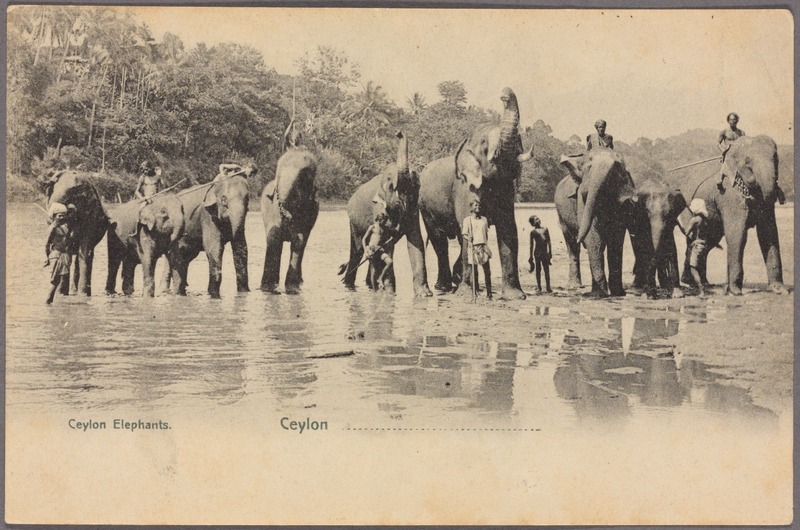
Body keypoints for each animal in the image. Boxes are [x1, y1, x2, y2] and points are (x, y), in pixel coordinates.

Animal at [258, 144, 318, 292]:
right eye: (278, 173)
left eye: (303, 178)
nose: (288, 217)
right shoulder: (272, 207)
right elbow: (273, 237)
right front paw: (268, 289)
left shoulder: (309, 210)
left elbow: (298, 240)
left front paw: (292, 290)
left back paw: (300, 283)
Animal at [342, 130, 434, 294]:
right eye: (391, 183)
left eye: (416, 182)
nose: (398, 132)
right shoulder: (378, 208)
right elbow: (387, 242)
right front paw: (390, 293)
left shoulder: (414, 210)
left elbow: (416, 240)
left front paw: (425, 294)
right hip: (353, 223)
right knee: (358, 250)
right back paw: (351, 286)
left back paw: (371, 285)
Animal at [418, 88, 532, 300]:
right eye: (485, 142)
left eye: (519, 140)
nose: (505, 94)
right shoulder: (464, 187)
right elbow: (466, 226)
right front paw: (464, 293)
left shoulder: (506, 188)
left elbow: (508, 229)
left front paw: (516, 296)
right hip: (424, 207)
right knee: (439, 240)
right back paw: (444, 287)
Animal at [556, 148, 636, 296]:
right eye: (588, 167)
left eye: (616, 168)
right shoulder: (581, 200)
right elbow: (593, 237)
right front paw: (600, 294)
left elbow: (616, 238)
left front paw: (618, 293)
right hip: (561, 216)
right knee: (572, 244)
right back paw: (574, 286)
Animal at [676, 134, 788, 294]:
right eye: (747, 161)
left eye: (776, 158)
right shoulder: (728, 194)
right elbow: (738, 234)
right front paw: (735, 292)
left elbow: (768, 232)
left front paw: (779, 289)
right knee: (695, 240)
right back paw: (693, 283)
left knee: (708, 241)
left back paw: (698, 283)